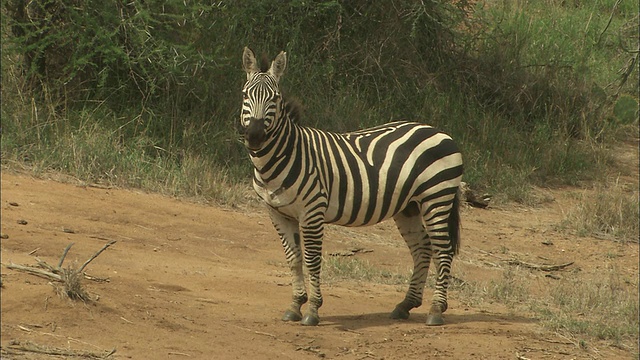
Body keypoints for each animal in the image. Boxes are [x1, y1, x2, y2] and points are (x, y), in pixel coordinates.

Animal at [239, 47, 460, 326]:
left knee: (443, 251)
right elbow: (293, 258)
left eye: (275, 99)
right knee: (423, 249)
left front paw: (312, 310)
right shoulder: (277, 213)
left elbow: (311, 260)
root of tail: (439, 131)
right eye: (245, 95)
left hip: (437, 197)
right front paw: (295, 305)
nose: (255, 136)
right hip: (409, 207)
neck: (285, 154)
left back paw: (436, 310)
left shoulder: (312, 211)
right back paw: (405, 305)